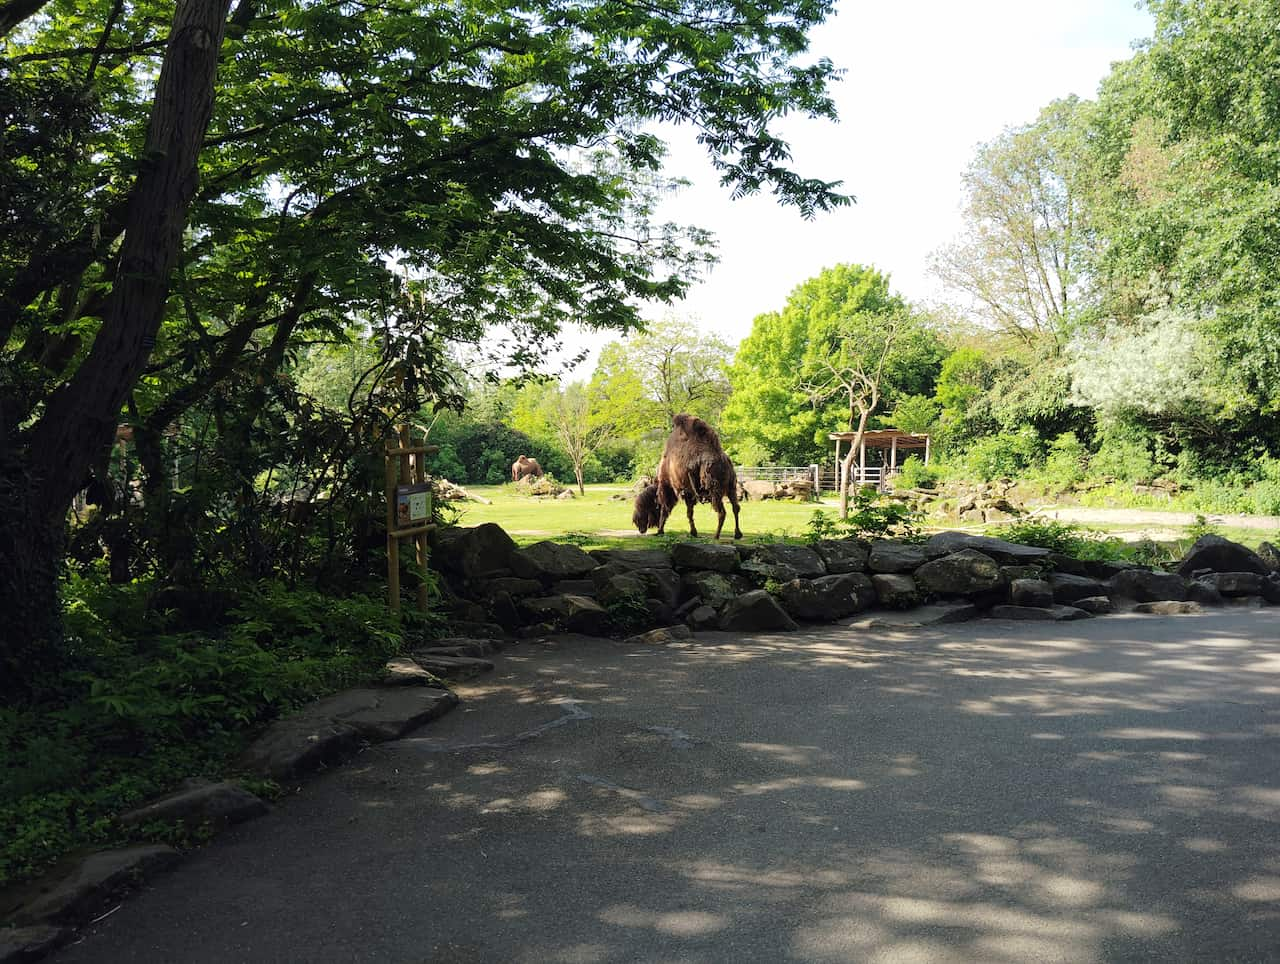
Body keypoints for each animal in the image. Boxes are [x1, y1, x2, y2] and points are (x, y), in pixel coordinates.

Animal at [634, 409, 747, 537]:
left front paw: (660, 531)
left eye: (646, 507)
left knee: (722, 511)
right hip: (731, 487)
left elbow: (667, 509)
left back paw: (716, 535)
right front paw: (693, 532)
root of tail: (724, 461)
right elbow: (689, 512)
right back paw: (737, 534)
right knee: (736, 507)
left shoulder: (673, 488)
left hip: (714, 489)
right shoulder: (689, 492)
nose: (640, 528)